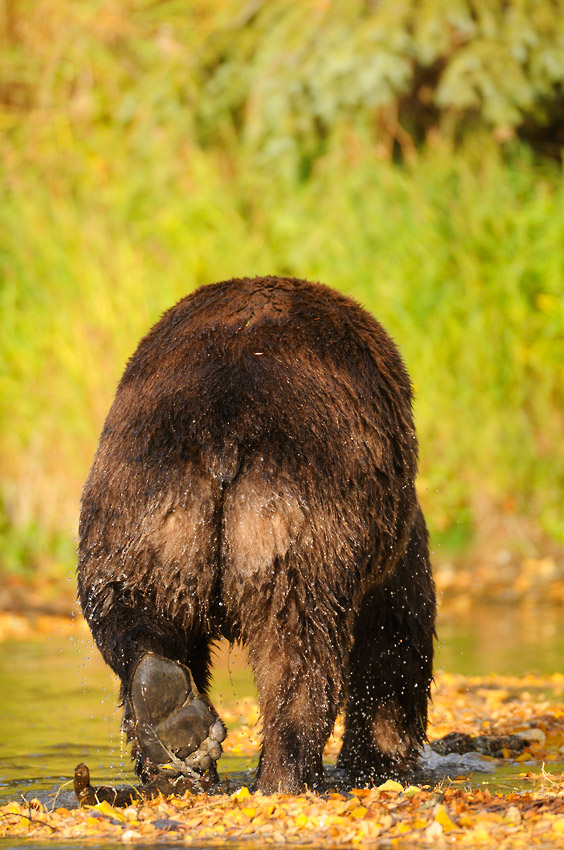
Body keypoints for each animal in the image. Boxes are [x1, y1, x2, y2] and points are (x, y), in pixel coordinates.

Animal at [77, 274, 434, 792]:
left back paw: (171, 734)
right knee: (300, 649)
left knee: (134, 609)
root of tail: (222, 431)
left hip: (143, 503)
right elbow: (395, 642)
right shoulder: (391, 551)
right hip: (300, 509)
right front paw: (383, 757)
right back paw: (285, 773)